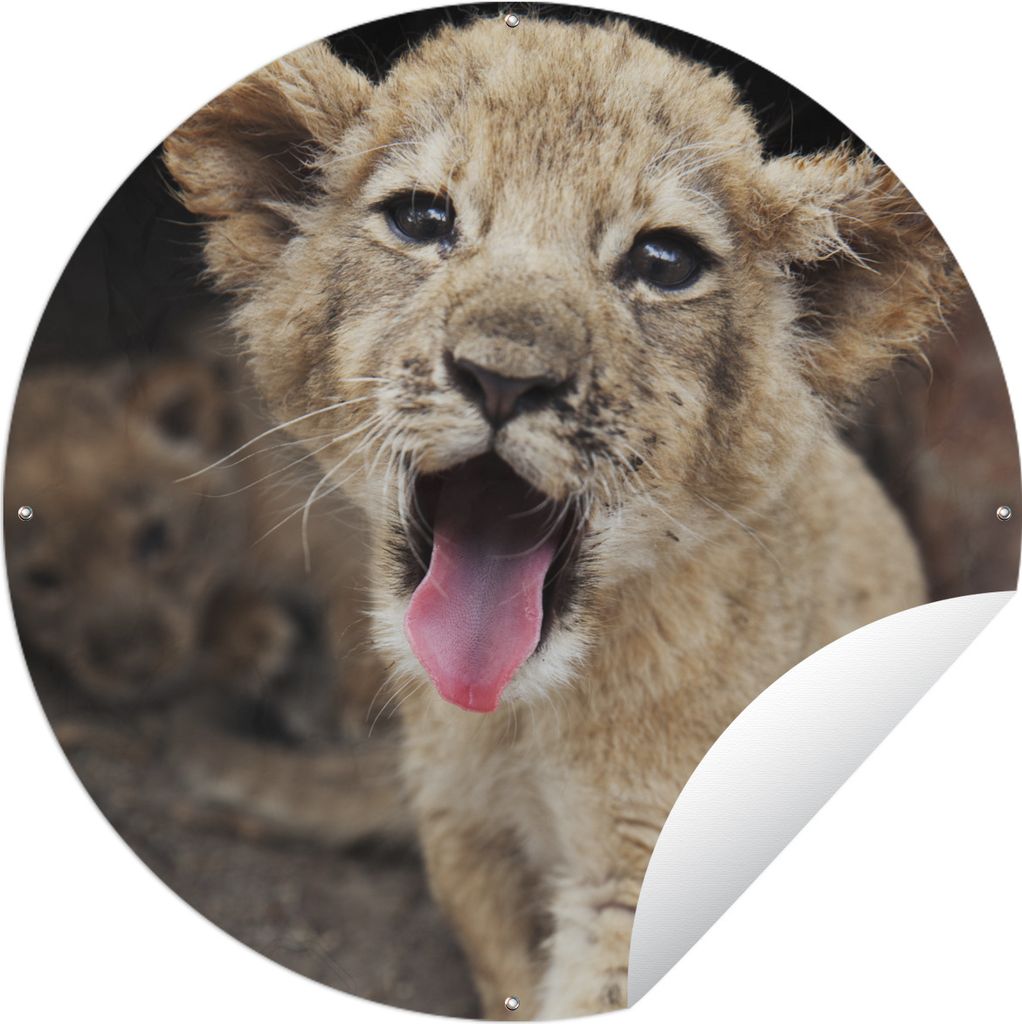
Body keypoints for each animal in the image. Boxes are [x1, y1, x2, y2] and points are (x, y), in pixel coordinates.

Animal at [165, 16, 960, 1019]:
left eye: (664, 262)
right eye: (421, 220)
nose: (505, 377)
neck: (527, 716)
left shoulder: (642, 862)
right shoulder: (462, 828)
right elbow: (508, 981)